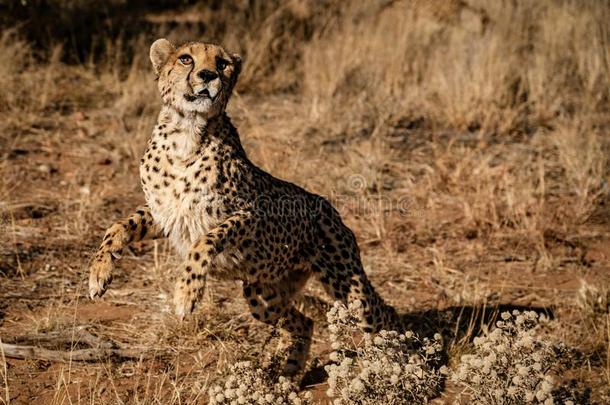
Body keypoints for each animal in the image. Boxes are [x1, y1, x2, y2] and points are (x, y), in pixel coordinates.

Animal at [86, 38, 400, 376]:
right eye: (186, 59)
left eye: (222, 63)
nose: (208, 75)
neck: (186, 133)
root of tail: (330, 207)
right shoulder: (166, 214)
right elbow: (118, 226)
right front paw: (99, 274)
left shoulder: (249, 213)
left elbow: (204, 241)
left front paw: (186, 293)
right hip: (262, 293)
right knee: (302, 321)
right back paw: (289, 375)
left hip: (345, 283)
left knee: (383, 315)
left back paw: (396, 362)